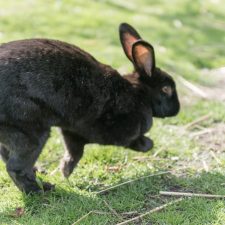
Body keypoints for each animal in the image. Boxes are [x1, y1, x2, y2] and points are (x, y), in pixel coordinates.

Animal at [0, 23, 179, 193]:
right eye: (166, 89)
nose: (177, 108)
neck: (139, 93)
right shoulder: (118, 133)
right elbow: (133, 141)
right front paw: (148, 144)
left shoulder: (72, 132)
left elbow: (74, 152)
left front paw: (65, 172)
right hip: (31, 133)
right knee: (15, 167)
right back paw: (41, 190)